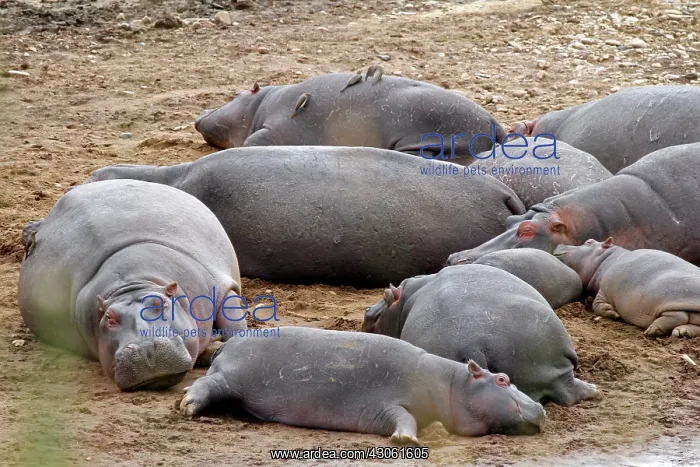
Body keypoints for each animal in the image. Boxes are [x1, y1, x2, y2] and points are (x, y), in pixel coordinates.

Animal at [18, 180, 246, 391]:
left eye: (162, 303)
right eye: (109, 318)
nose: (146, 349)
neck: (134, 282)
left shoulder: (222, 286)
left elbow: (234, 323)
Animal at [179, 326, 547, 442]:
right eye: (502, 379)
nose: (541, 407)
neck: (452, 383)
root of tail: (229, 342)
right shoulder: (384, 403)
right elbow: (403, 417)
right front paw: (404, 440)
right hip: (234, 377)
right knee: (207, 385)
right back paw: (186, 406)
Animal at [193, 72, 506, 163]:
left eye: (236, 93)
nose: (200, 114)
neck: (260, 104)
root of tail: (495, 124)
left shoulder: (275, 129)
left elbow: (252, 141)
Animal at [554, 238, 700, 338]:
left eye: (589, 242)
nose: (560, 244)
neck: (606, 258)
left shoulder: (604, 289)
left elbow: (598, 304)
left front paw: (613, 314)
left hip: (669, 296)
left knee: (678, 315)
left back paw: (653, 330)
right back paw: (681, 332)